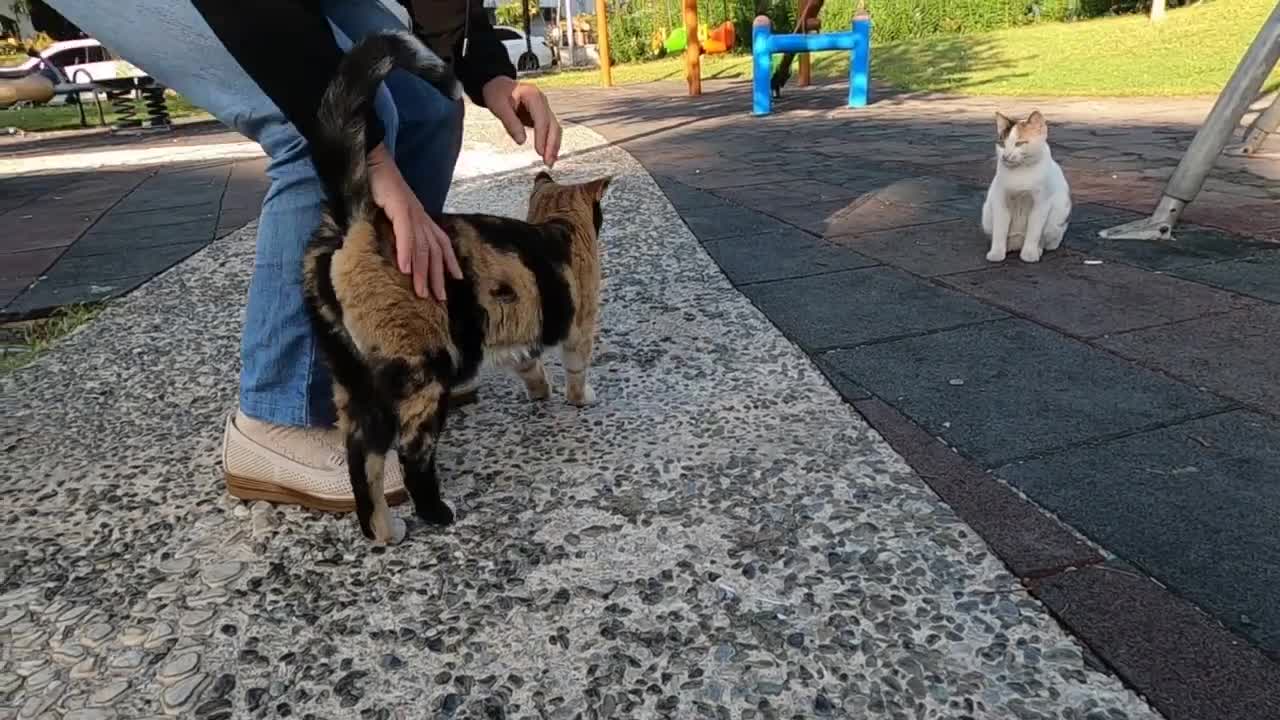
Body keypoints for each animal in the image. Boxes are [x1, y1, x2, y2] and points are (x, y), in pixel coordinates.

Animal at [977, 109, 1070, 260]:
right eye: (1002, 144)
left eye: (1019, 143)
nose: (1005, 156)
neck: (1021, 172)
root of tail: (1017, 243)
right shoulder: (1000, 201)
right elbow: (1000, 230)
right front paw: (996, 253)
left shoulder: (1041, 205)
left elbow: (1034, 232)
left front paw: (1030, 253)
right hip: (986, 214)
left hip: (1059, 214)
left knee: (1050, 239)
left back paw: (1039, 249)